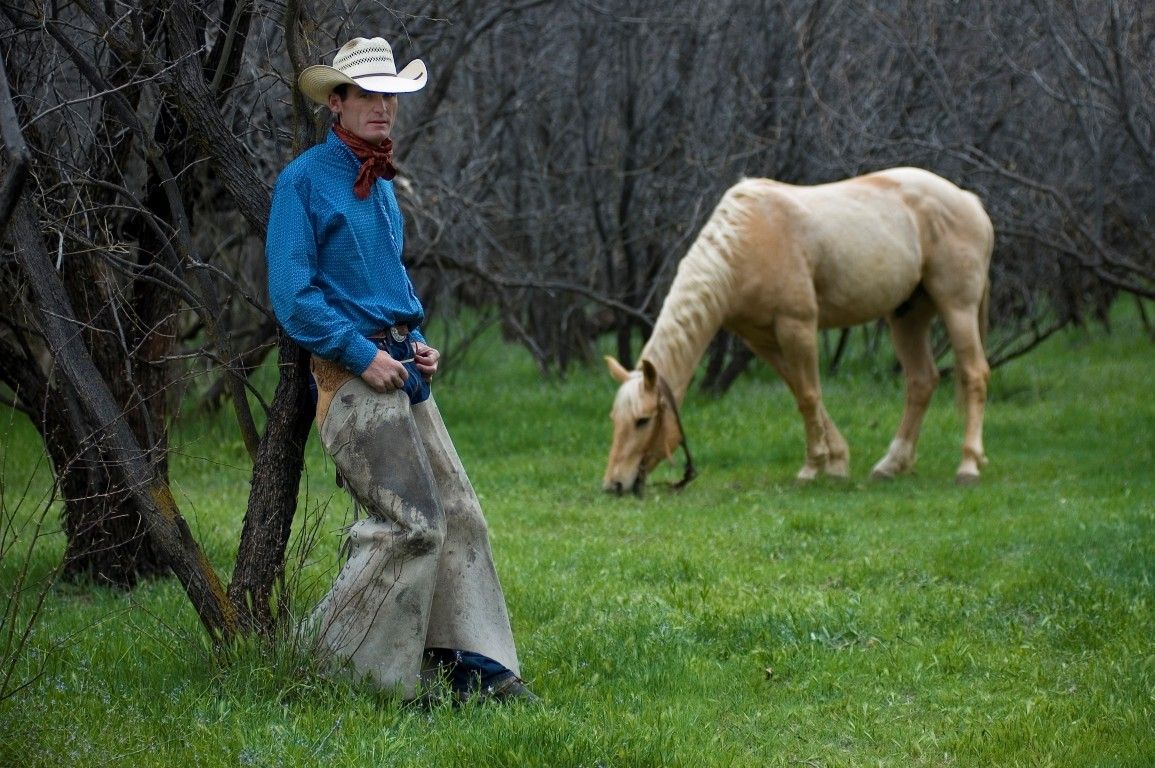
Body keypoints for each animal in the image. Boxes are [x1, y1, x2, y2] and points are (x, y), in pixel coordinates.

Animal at [603, 167, 993, 495]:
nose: (614, 485)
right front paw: (837, 463)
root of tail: (968, 199)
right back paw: (890, 465)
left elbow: (808, 396)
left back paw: (968, 466)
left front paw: (811, 468)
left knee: (974, 374)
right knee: (922, 382)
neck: (747, 241)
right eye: (615, 419)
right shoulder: (761, 339)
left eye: (642, 420)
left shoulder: (797, 327)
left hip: (957, 307)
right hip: (907, 317)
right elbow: (803, 393)